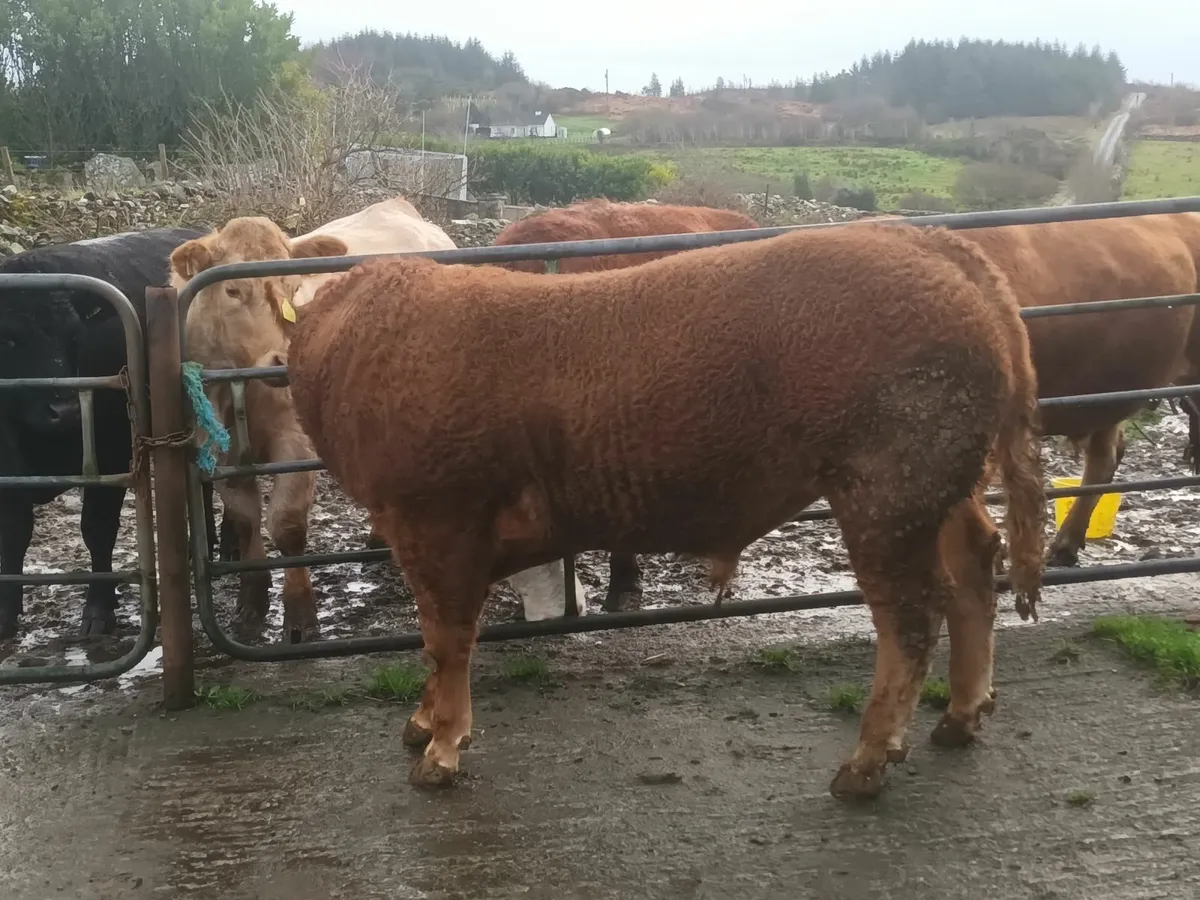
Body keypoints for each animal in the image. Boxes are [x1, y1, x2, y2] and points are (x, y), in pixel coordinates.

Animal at [0, 227, 207, 640]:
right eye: (9, 340)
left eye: (74, 338)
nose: (63, 411)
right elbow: (14, 534)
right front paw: (5, 612)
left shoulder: (112, 453)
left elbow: (96, 527)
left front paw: (98, 608)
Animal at [173, 200, 587, 643]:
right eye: (232, 290)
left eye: (294, 286)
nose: (282, 358)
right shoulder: (215, 446)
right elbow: (246, 521)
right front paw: (251, 605)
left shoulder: (295, 443)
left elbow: (287, 525)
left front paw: (300, 615)